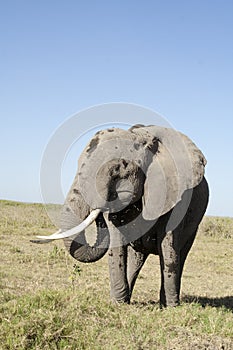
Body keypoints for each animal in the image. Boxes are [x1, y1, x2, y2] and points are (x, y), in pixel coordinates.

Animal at [31, 125, 208, 306]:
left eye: (118, 168)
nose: (101, 207)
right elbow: (117, 241)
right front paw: (118, 304)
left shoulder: (176, 195)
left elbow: (168, 247)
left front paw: (170, 307)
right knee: (137, 258)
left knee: (181, 254)